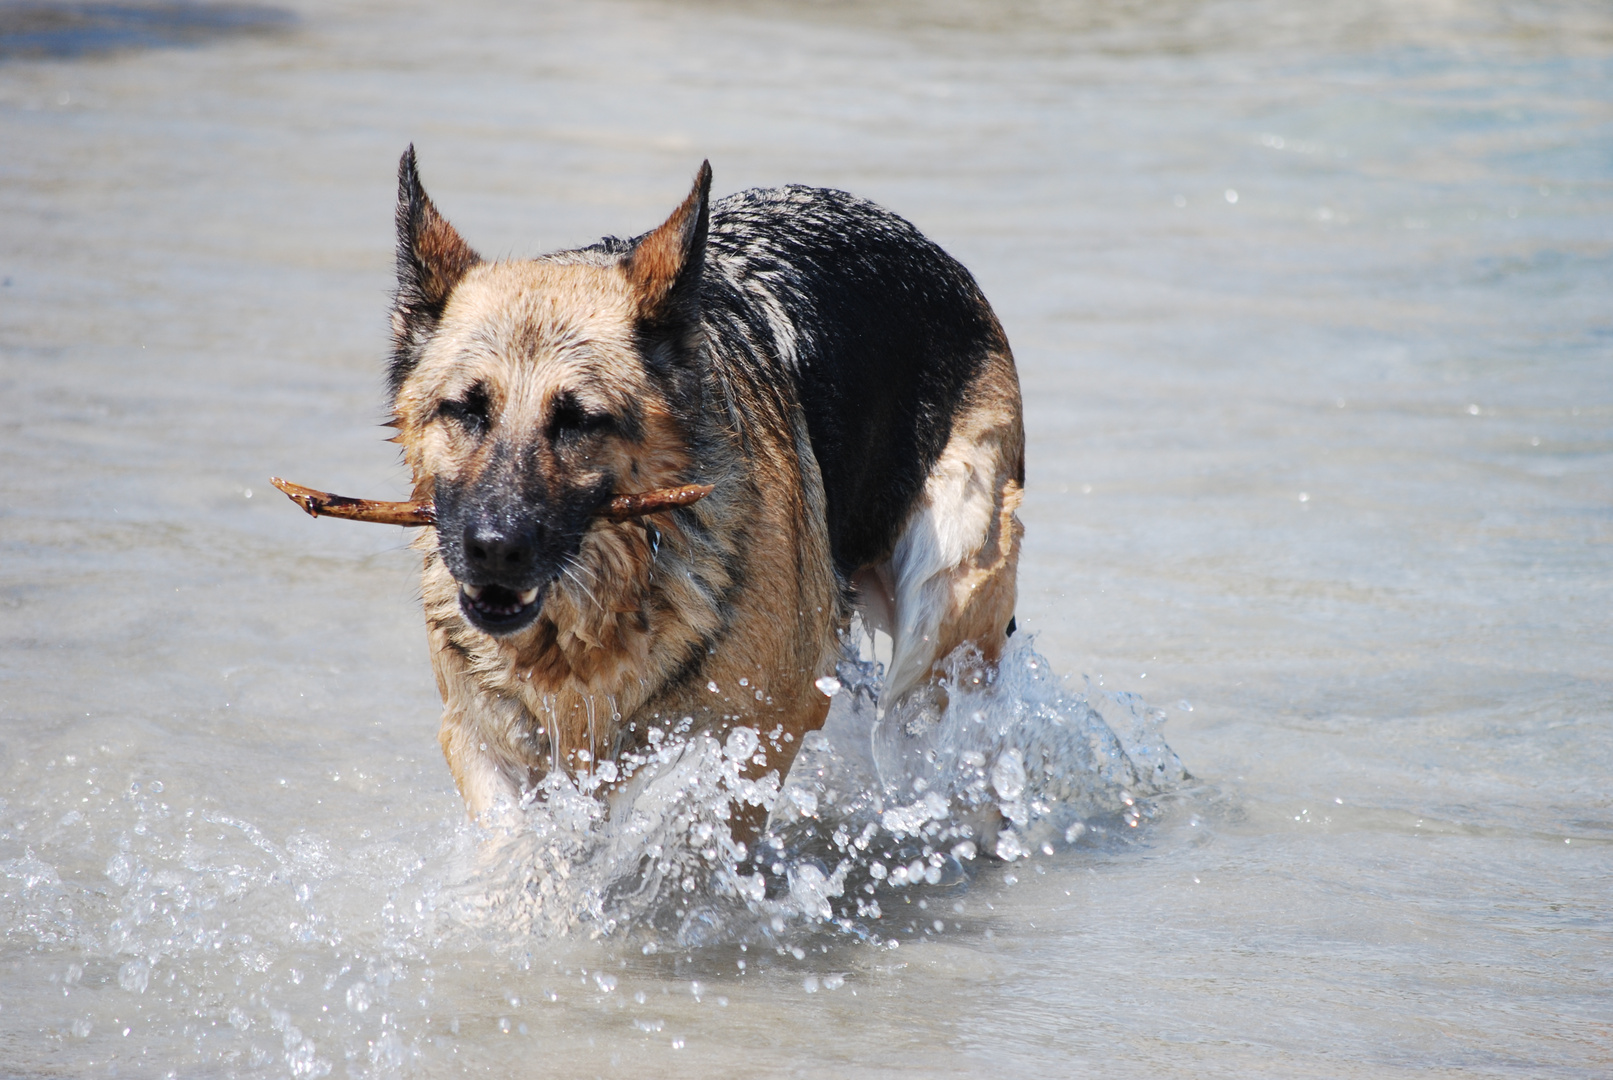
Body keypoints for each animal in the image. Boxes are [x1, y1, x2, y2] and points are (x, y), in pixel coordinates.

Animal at [388, 148, 1019, 838]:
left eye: (579, 421)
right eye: (467, 411)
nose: (494, 549)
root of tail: (923, 245)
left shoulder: (763, 729)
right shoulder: (484, 739)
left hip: (941, 608)